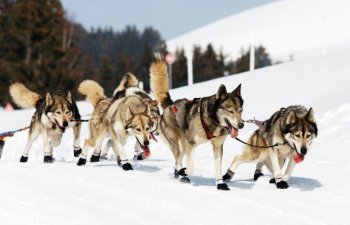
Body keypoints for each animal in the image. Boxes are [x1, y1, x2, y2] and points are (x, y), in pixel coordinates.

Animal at [150, 53, 243, 191]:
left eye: (240, 110)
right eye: (230, 111)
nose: (241, 125)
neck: (212, 120)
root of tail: (170, 104)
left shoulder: (217, 146)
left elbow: (218, 166)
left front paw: (220, 183)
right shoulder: (191, 144)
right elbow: (190, 167)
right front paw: (185, 172)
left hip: (183, 145)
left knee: (178, 159)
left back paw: (178, 174)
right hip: (176, 143)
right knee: (178, 159)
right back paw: (181, 174)